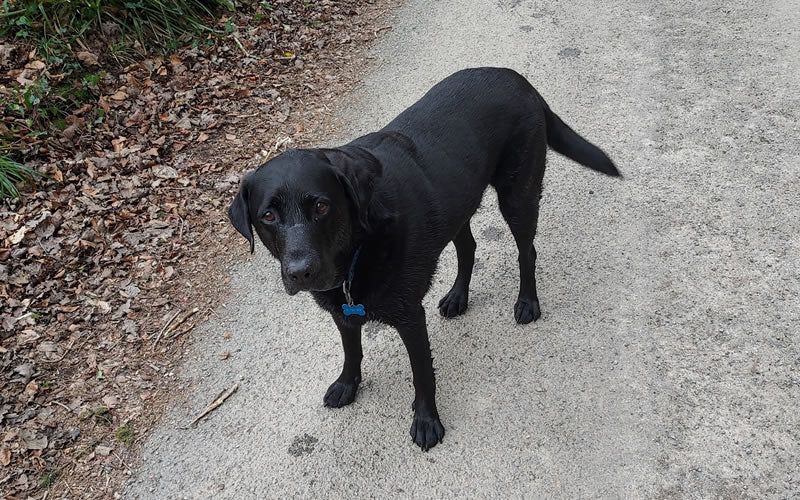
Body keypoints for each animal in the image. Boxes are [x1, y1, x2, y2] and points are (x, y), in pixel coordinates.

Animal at [228, 66, 620, 450]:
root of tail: (517, 78)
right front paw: (347, 384)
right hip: (458, 204)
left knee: (527, 251)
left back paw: (527, 302)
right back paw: (458, 297)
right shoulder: (343, 314)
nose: (300, 272)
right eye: (268, 216)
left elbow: (422, 374)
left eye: (322, 206)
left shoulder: (410, 317)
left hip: (518, 195)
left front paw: (426, 421)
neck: (358, 248)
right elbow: (351, 350)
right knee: (468, 247)